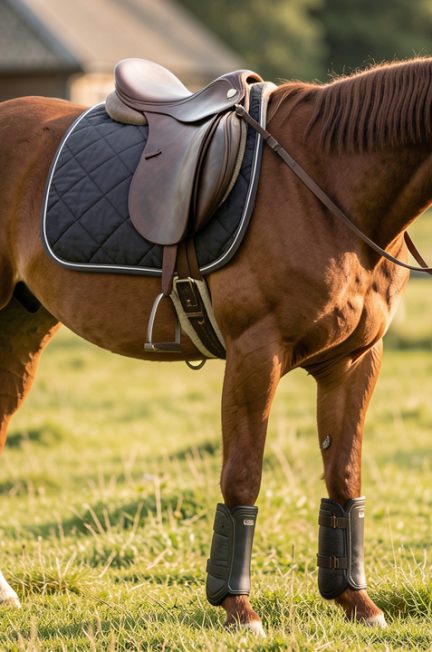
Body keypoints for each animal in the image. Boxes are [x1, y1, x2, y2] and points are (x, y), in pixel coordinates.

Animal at [0, 57, 431, 636]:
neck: (329, 182)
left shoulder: (355, 361)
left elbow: (344, 475)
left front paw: (356, 601)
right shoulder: (256, 353)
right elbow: (243, 478)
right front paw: (237, 608)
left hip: (21, 329)